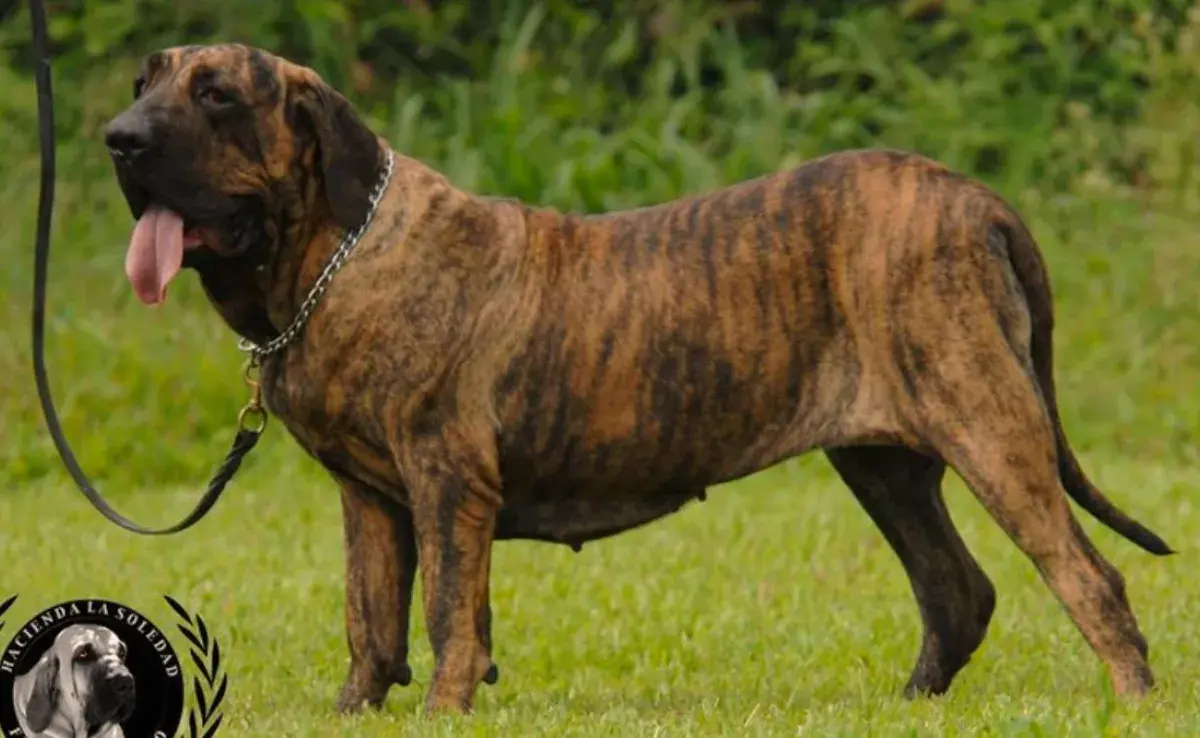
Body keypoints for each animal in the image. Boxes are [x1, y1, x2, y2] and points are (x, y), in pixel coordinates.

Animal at [103, 44, 1171, 715]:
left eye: (216, 95)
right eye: (148, 81)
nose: (119, 136)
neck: (337, 248)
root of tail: (976, 198)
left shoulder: (448, 483)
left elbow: (449, 616)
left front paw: (445, 706)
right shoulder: (371, 499)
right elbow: (372, 625)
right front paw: (355, 713)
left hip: (989, 425)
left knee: (1089, 579)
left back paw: (1132, 701)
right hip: (884, 463)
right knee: (957, 590)